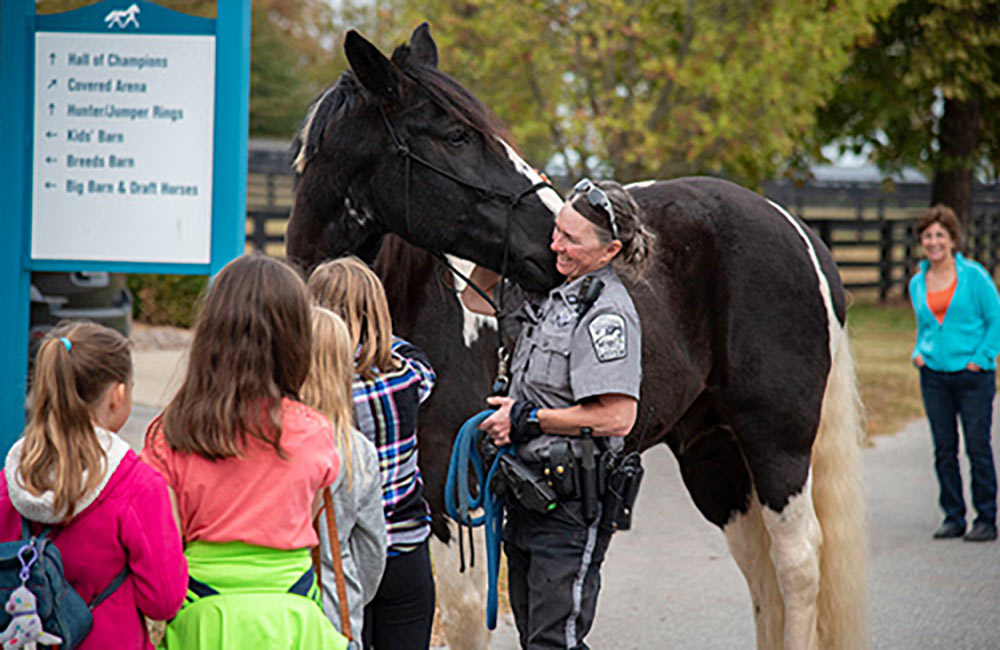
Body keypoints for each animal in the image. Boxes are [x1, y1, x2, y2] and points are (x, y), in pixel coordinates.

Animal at [290, 22, 868, 644]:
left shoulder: (451, 505)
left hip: (778, 441)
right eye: (455, 136)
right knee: (761, 577)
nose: (555, 235)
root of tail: (794, 228)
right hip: (713, 452)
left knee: (797, 565)